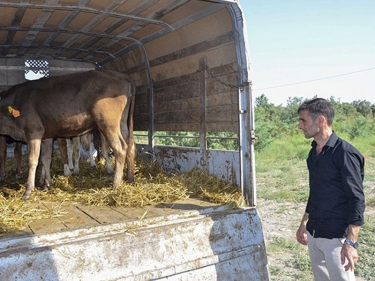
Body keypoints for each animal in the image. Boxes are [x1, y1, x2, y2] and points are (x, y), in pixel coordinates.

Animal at [0, 71, 137, 200]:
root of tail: (121, 75)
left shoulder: (33, 132)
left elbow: (33, 160)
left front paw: (28, 191)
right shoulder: (46, 136)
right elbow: (46, 158)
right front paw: (47, 184)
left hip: (108, 122)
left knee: (120, 148)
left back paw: (115, 184)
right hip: (122, 122)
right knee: (130, 145)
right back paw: (129, 178)